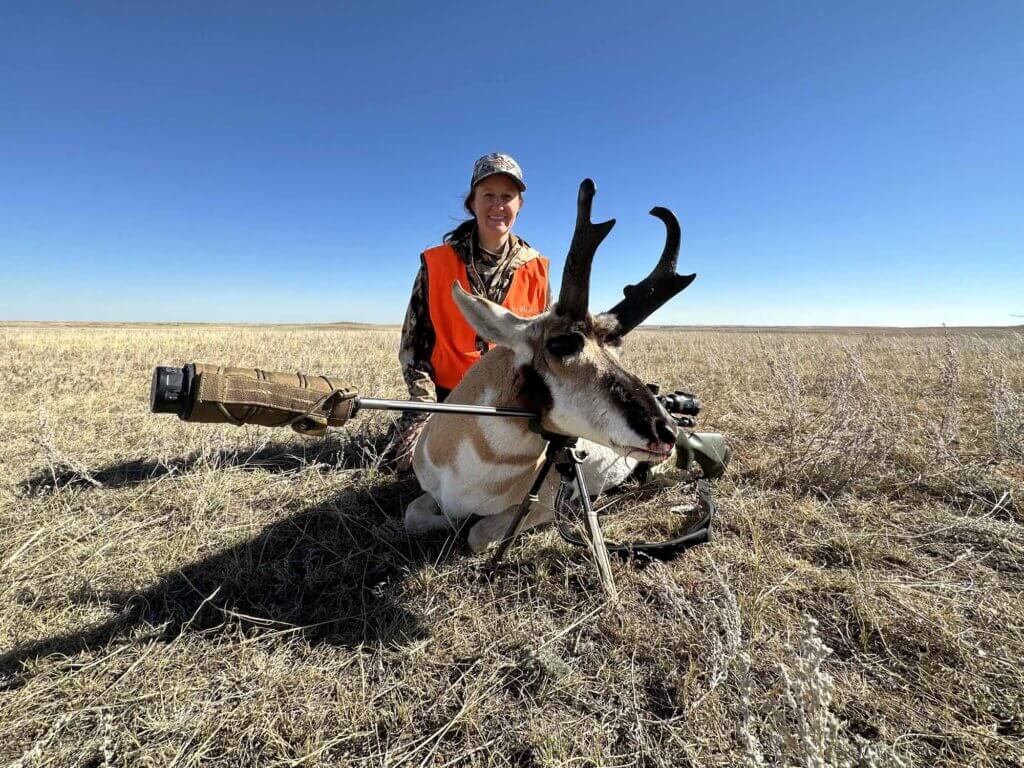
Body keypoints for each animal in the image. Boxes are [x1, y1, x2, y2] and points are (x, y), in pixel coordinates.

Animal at [405, 180, 696, 552]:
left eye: (617, 351)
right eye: (561, 344)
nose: (666, 431)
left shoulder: (541, 505)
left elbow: (475, 533)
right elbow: (414, 515)